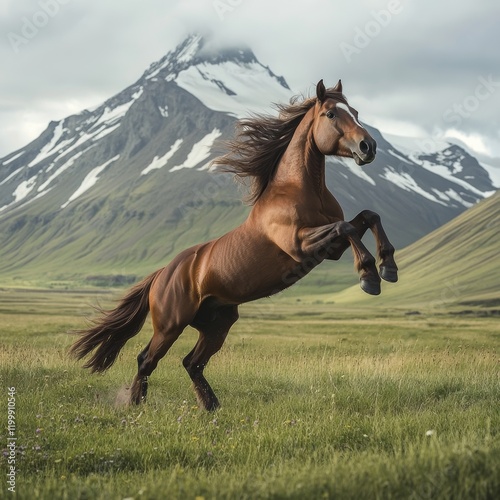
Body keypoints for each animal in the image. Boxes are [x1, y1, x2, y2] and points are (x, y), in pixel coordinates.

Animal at [70, 79, 398, 410]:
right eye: (331, 114)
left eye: (355, 112)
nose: (368, 147)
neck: (300, 190)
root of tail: (162, 274)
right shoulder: (300, 245)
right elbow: (347, 227)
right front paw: (370, 277)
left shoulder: (331, 250)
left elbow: (368, 217)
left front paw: (388, 268)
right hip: (170, 325)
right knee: (147, 359)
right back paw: (136, 404)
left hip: (217, 324)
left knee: (192, 363)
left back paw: (211, 406)